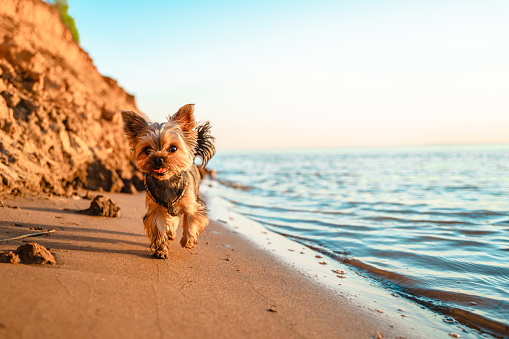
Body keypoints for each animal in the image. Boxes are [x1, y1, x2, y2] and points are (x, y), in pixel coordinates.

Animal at [121, 105, 214, 258]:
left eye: (173, 148)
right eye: (147, 150)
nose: (158, 159)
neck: (167, 182)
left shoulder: (192, 204)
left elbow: (191, 220)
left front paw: (188, 241)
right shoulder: (156, 209)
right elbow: (158, 227)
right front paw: (161, 249)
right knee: (172, 219)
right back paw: (170, 233)